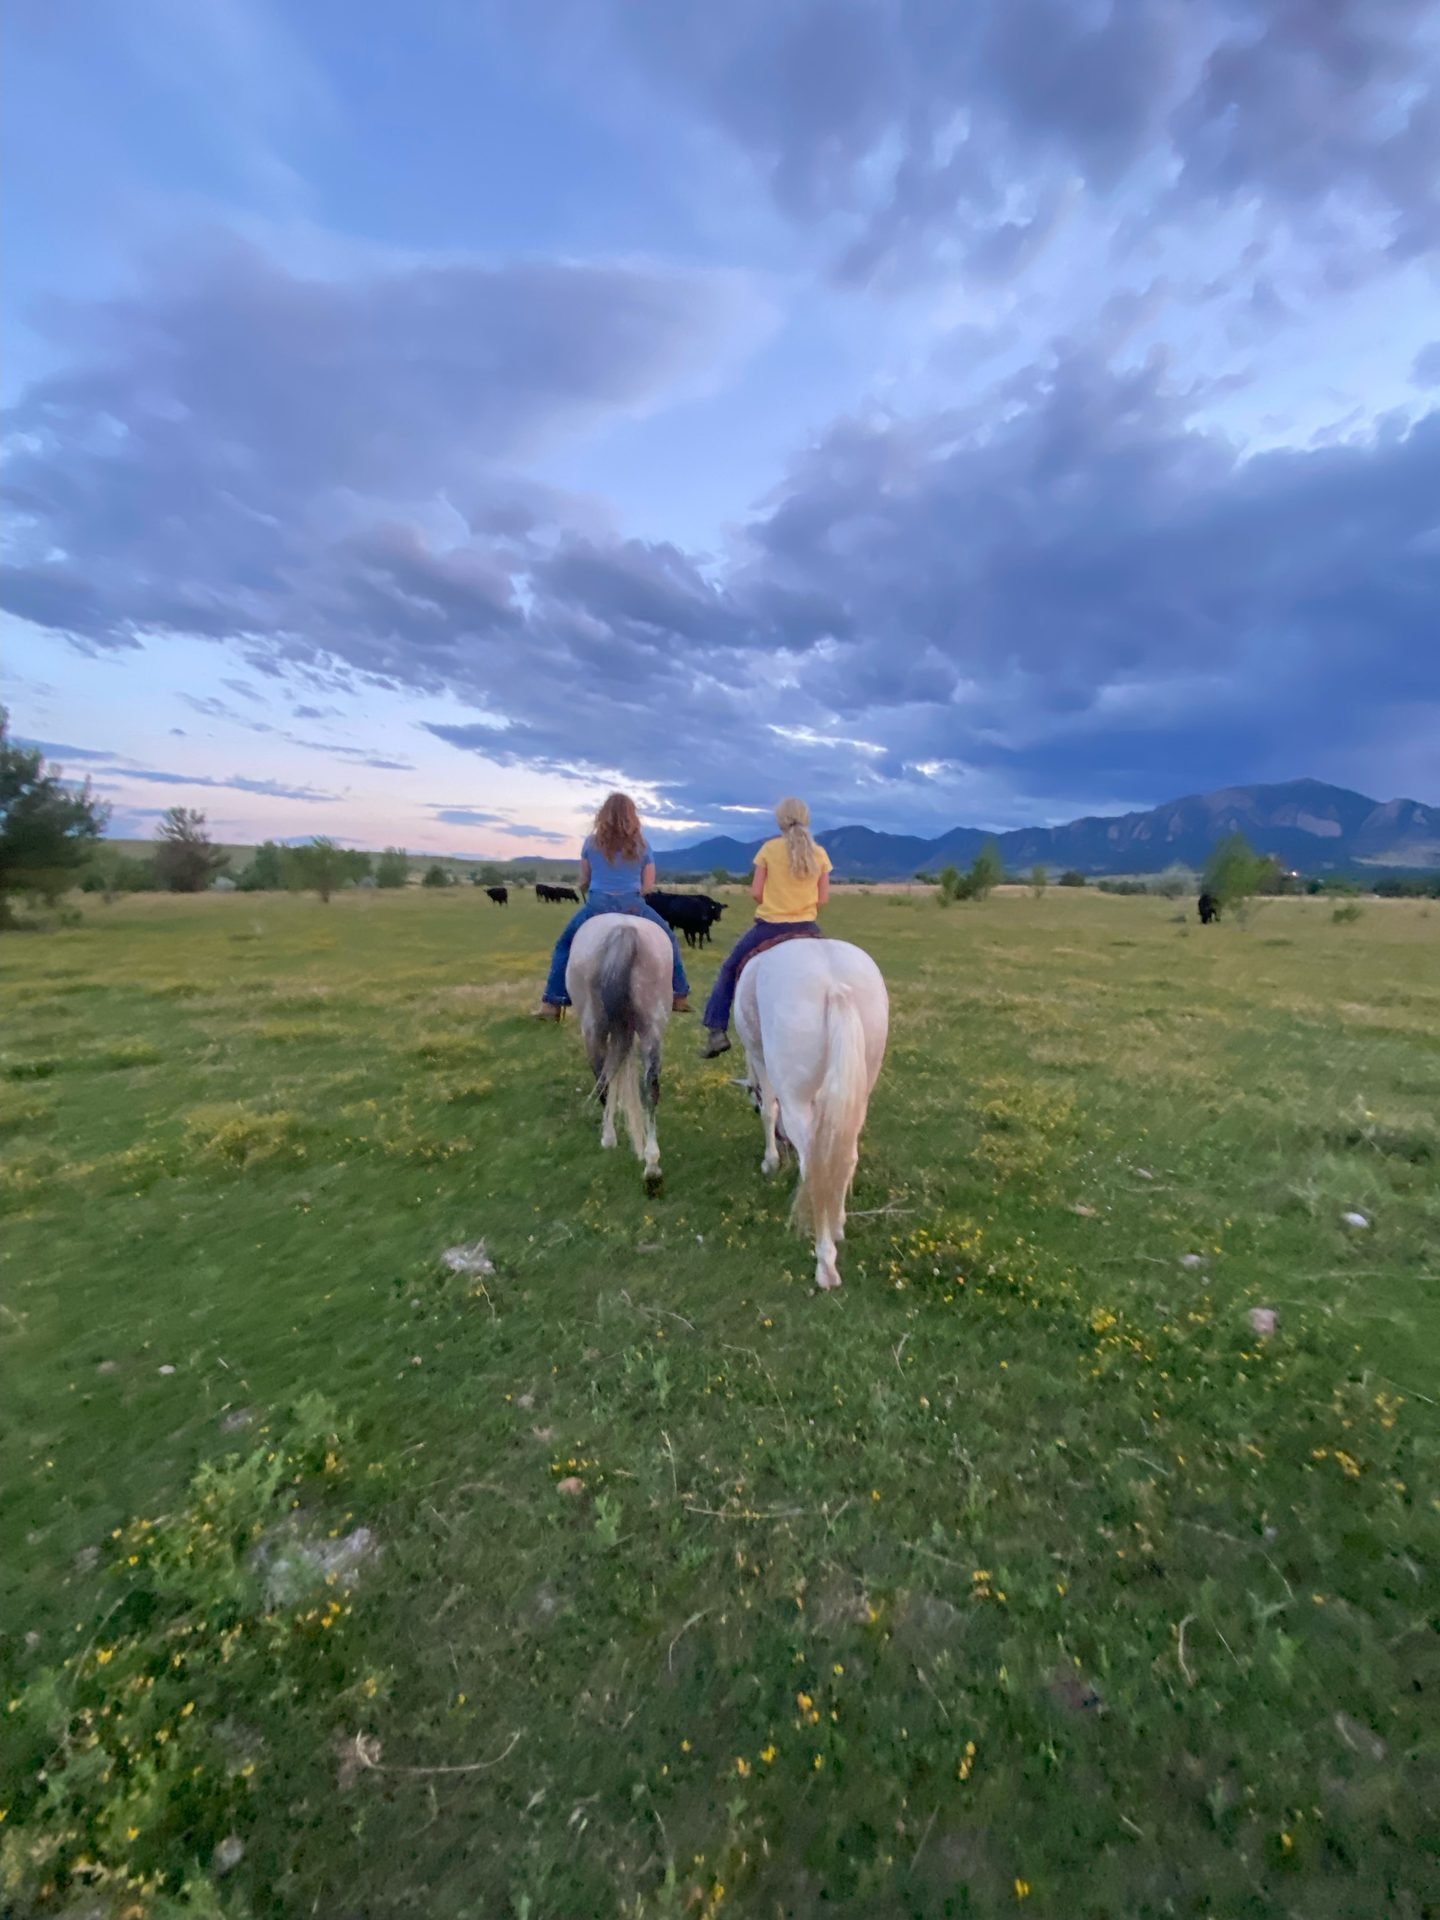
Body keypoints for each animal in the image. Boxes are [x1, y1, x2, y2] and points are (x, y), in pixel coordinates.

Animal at [565, 914, 672, 1193]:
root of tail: (625, 930)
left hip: (593, 1031)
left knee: (603, 1079)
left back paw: (609, 1137)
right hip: (651, 1029)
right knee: (651, 1087)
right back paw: (652, 1165)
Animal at [733, 938, 888, 1290]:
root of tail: (835, 984)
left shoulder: (760, 1060)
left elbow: (769, 1111)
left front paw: (771, 1162)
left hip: (796, 1100)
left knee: (813, 1164)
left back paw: (825, 1262)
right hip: (858, 1094)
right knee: (846, 1157)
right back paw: (837, 1223)